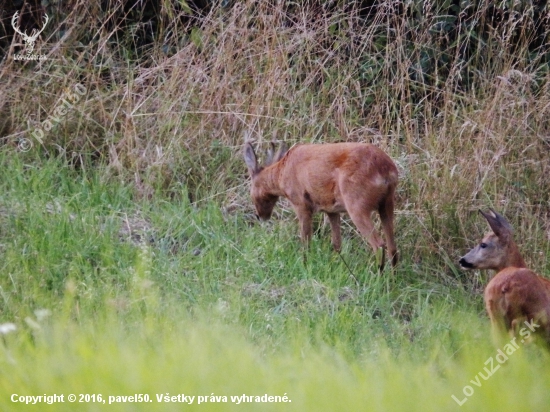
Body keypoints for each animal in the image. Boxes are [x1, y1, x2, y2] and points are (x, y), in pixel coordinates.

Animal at [246, 139, 402, 270]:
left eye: (252, 189)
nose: (260, 216)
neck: (282, 172)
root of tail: (385, 169)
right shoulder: (331, 210)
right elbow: (337, 244)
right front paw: (338, 266)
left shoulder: (301, 203)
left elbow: (306, 241)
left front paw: (305, 265)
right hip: (387, 203)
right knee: (392, 247)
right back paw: (392, 280)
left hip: (357, 204)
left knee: (379, 245)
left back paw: (378, 279)